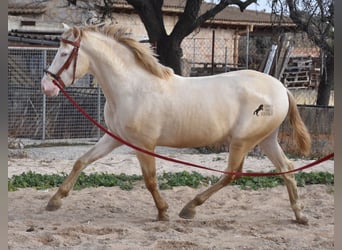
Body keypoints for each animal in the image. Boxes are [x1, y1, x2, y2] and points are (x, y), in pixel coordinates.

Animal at [41, 24, 312, 225]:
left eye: (64, 54)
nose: (46, 86)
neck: (132, 88)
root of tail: (281, 88)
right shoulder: (114, 137)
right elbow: (82, 161)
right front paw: (55, 201)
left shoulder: (144, 144)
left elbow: (150, 179)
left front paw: (163, 212)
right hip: (266, 139)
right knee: (287, 168)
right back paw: (300, 215)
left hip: (243, 141)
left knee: (231, 174)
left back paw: (189, 208)